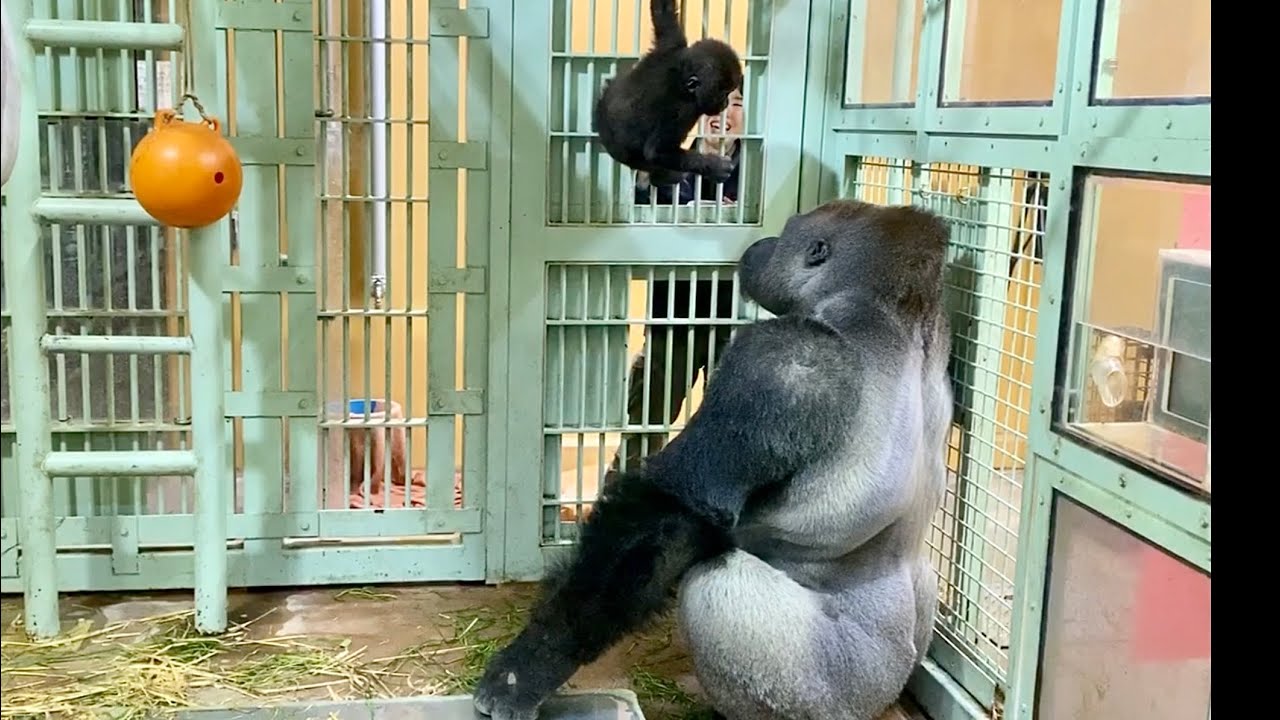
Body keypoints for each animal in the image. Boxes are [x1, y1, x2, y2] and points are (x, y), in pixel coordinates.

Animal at [472, 198, 954, 720]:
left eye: (788, 230)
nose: (763, 244)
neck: (890, 312)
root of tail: (887, 693)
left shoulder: (781, 358)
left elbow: (674, 513)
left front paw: (531, 664)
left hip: (838, 693)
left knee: (714, 589)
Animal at [593, 0, 744, 188]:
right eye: (723, 93)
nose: (725, 103)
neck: (681, 77)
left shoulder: (673, 46)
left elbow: (663, 10)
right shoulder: (683, 111)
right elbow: (658, 151)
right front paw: (715, 166)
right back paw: (663, 177)